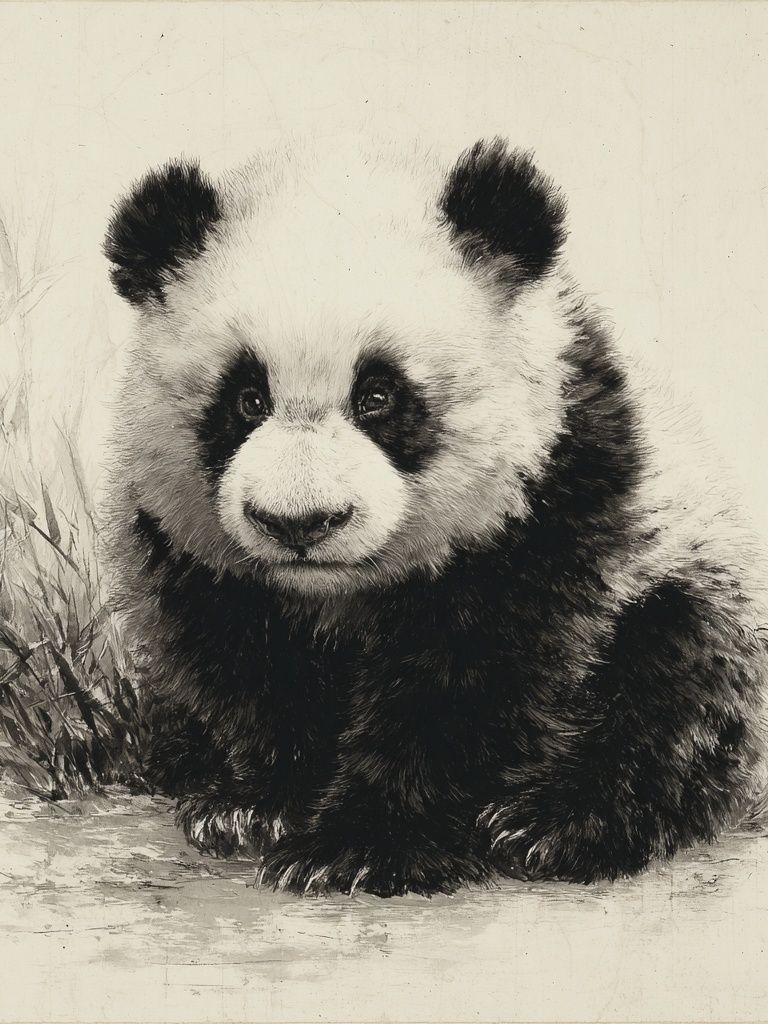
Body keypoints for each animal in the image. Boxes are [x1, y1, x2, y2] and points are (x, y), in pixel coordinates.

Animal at [102, 136, 768, 897]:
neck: (336, 591)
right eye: (245, 399)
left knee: (672, 690)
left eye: (379, 396)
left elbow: (465, 675)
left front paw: (363, 846)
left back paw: (559, 825)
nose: (301, 523)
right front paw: (257, 806)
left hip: (690, 578)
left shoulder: (553, 494)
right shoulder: (190, 542)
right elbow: (248, 662)